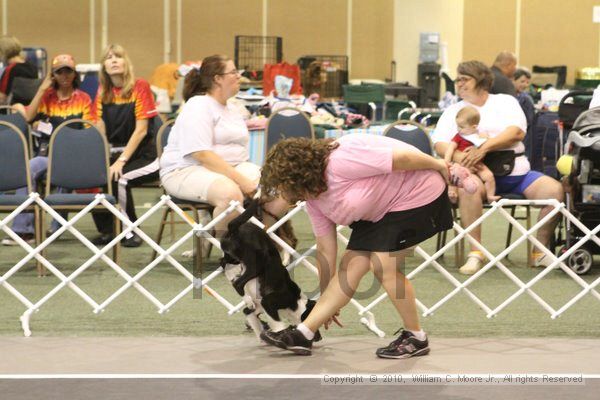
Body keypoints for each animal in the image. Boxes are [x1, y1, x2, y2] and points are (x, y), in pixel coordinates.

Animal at [220, 200, 322, 340]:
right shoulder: (269, 302)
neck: (296, 302)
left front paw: (265, 339)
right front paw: (280, 335)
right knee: (238, 283)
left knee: (223, 263)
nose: (320, 337)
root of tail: (236, 229)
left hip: (233, 257)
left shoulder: (257, 309)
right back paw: (246, 298)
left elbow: (256, 323)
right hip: (257, 264)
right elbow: (278, 324)